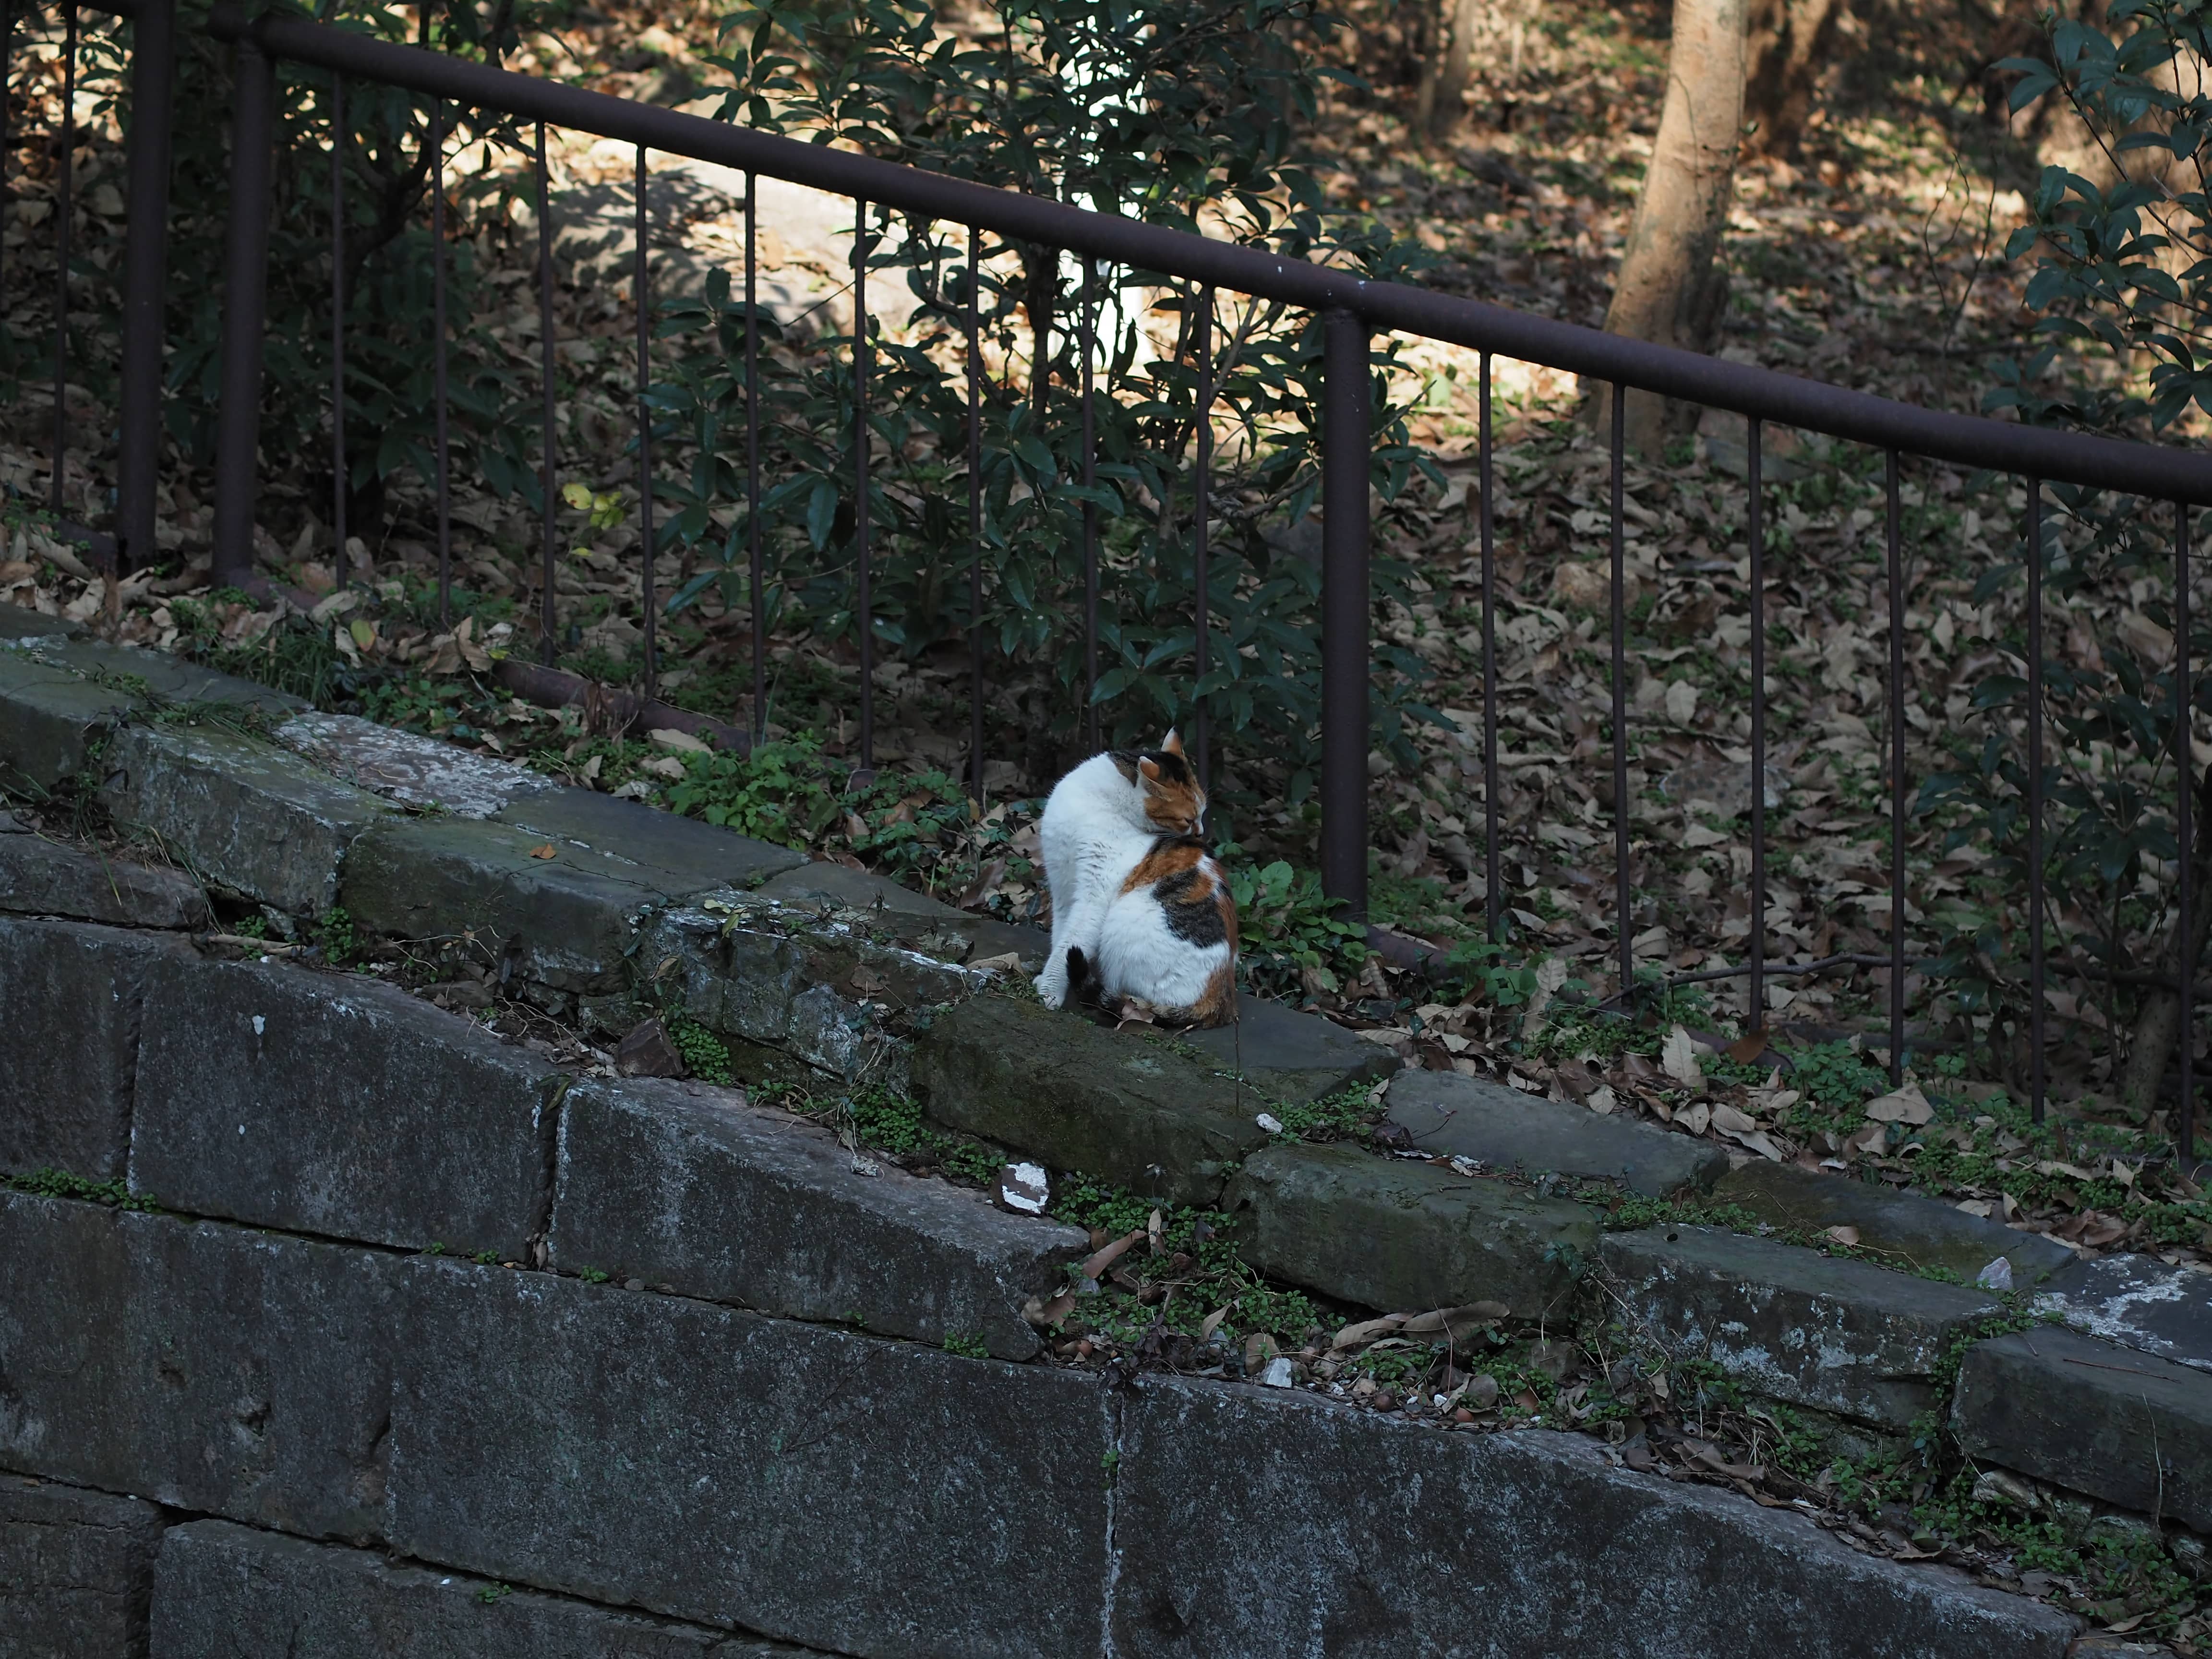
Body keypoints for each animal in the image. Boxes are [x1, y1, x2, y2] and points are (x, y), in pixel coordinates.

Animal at [1026, 734, 1238, 1035]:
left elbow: (1070, 942)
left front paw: (1050, 992)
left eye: (1201, 815)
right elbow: (1060, 937)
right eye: (1189, 819)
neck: (1099, 801)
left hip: (1124, 928)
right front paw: (1048, 980)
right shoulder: (1062, 886)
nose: (1200, 834)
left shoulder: (1094, 894)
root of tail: (1222, 1003)